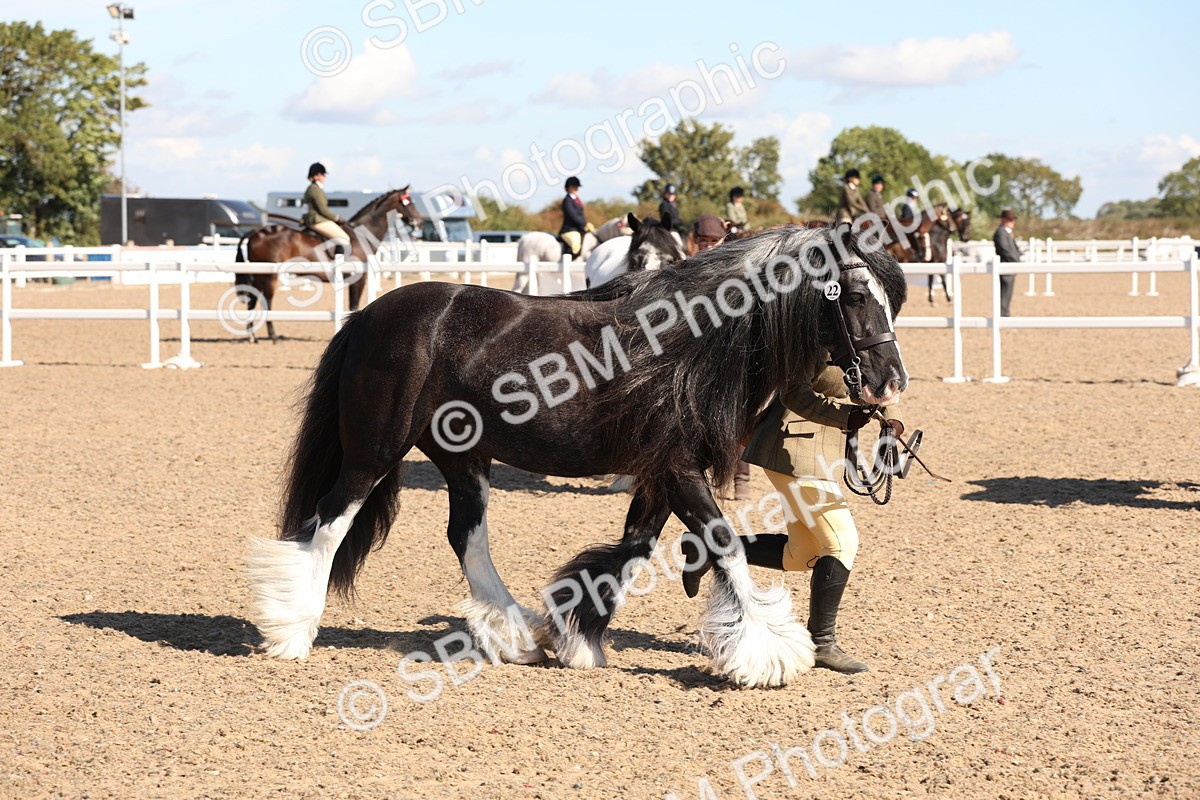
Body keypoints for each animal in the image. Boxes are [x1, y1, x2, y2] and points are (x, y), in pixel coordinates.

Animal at [233, 187, 422, 342]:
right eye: (408, 201)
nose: (419, 222)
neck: (361, 235)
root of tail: (255, 232)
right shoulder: (358, 279)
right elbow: (354, 305)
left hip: (258, 275)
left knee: (253, 300)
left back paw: (252, 336)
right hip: (268, 275)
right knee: (266, 300)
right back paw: (271, 335)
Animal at [246, 223, 909, 689]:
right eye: (854, 295)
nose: (889, 382)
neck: (689, 345)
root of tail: (366, 316)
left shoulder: (657, 474)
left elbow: (634, 548)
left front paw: (580, 637)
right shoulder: (677, 469)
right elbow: (722, 543)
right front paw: (768, 654)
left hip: (463, 457)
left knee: (467, 536)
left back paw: (517, 636)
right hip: (374, 451)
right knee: (328, 525)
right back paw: (291, 633)